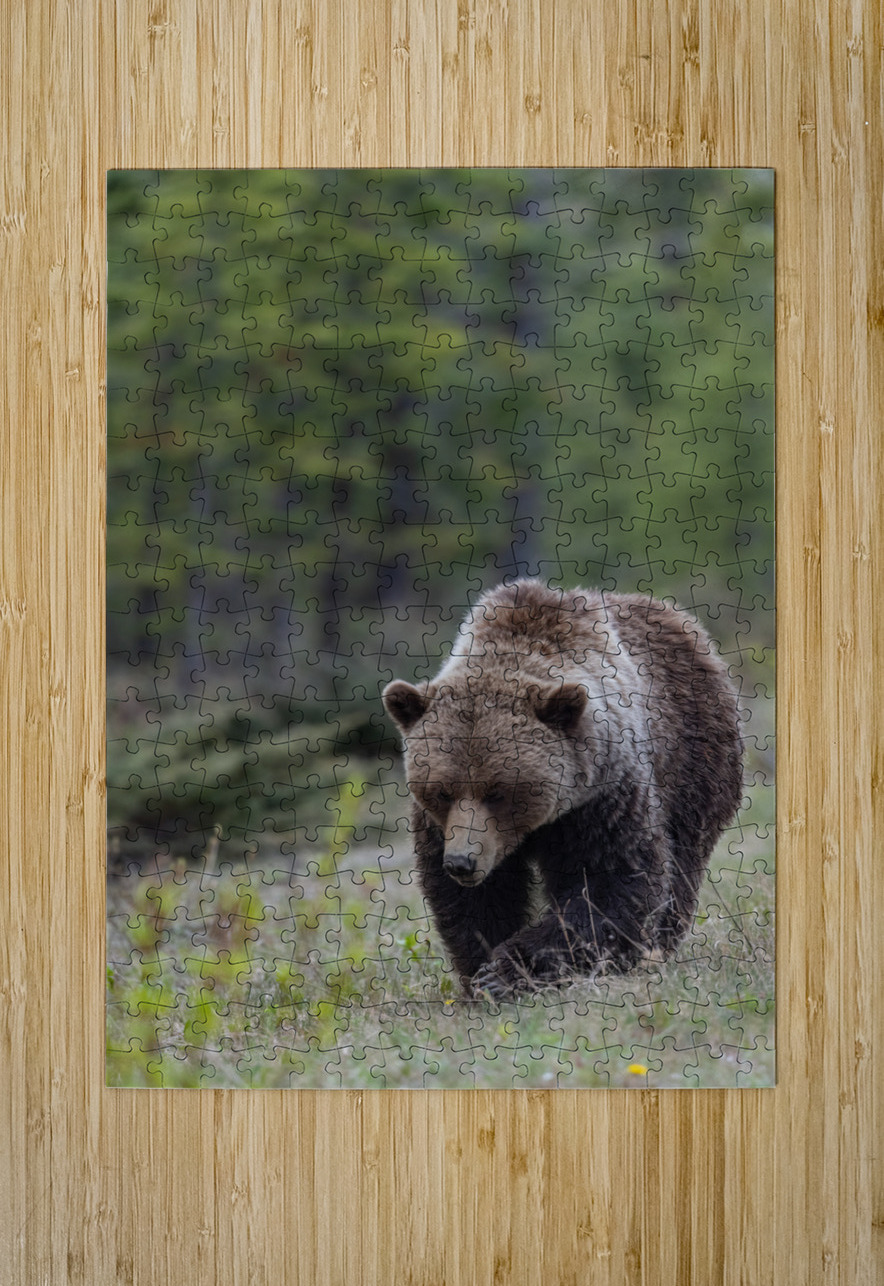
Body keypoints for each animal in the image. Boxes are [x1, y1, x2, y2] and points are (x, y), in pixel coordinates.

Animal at [382, 578, 743, 998]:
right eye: (442, 791)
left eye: (498, 792)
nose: (462, 862)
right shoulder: (442, 826)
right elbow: (474, 901)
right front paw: (481, 969)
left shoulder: (603, 795)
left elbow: (608, 882)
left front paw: (508, 969)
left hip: (693, 756)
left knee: (682, 857)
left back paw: (654, 948)